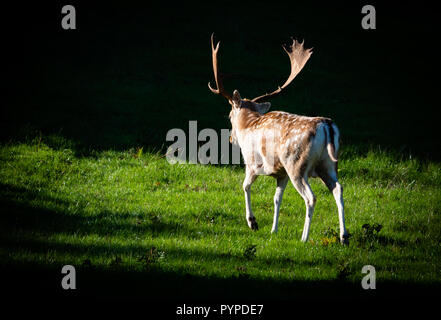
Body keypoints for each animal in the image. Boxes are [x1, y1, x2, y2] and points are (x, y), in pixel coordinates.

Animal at [208, 33, 348, 244]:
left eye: (229, 115)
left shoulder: (253, 163)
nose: (232, 139)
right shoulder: (281, 173)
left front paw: (253, 222)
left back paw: (304, 238)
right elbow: (277, 198)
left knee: (311, 197)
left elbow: (245, 186)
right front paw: (273, 230)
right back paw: (344, 237)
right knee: (339, 190)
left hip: (297, 165)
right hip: (329, 165)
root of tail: (327, 126)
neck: (248, 126)